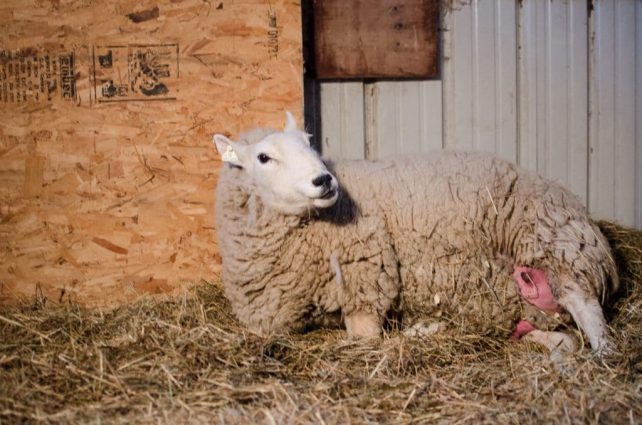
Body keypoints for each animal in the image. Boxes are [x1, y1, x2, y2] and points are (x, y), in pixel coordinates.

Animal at [212, 112, 619, 356]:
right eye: (263, 158)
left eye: (311, 143)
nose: (324, 180)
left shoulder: (366, 279)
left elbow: (365, 337)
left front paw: (415, 332)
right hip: (523, 290)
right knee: (554, 332)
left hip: (553, 242)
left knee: (585, 306)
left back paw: (605, 355)